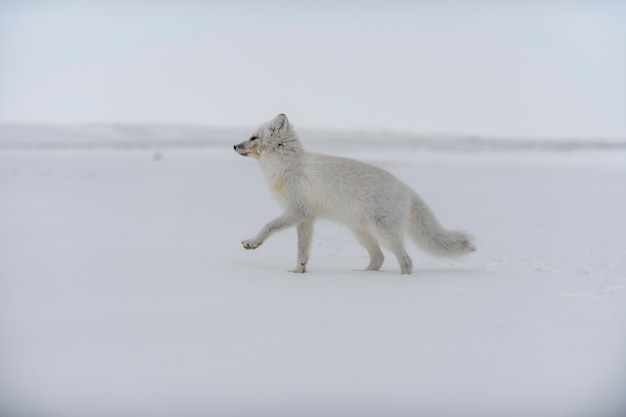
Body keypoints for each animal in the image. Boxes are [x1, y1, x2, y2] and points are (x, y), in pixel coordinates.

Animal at [233, 114, 472, 272]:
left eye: (253, 137)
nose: (234, 146)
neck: (287, 166)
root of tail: (408, 189)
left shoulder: (297, 211)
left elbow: (268, 226)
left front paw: (252, 242)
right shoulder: (306, 219)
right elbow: (302, 250)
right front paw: (298, 271)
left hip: (384, 232)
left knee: (405, 261)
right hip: (362, 234)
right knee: (379, 259)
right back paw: (364, 276)